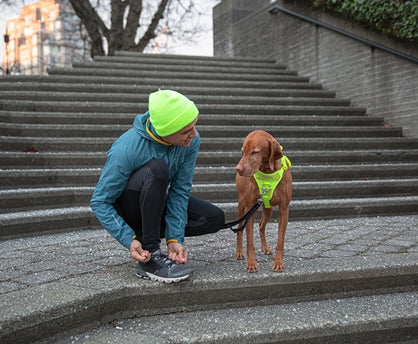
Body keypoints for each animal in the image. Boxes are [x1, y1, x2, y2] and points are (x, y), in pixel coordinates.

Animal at [235, 130, 290, 272]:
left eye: (255, 152)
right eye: (243, 151)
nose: (238, 168)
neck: (268, 172)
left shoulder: (284, 209)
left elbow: (280, 240)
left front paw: (278, 262)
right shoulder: (249, 207)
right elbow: (249, 241)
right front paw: (251, 263)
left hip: (267, 208)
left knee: (261, 225)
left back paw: (265, 248)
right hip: (242, 206)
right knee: (239, 229)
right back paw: (239, 252)